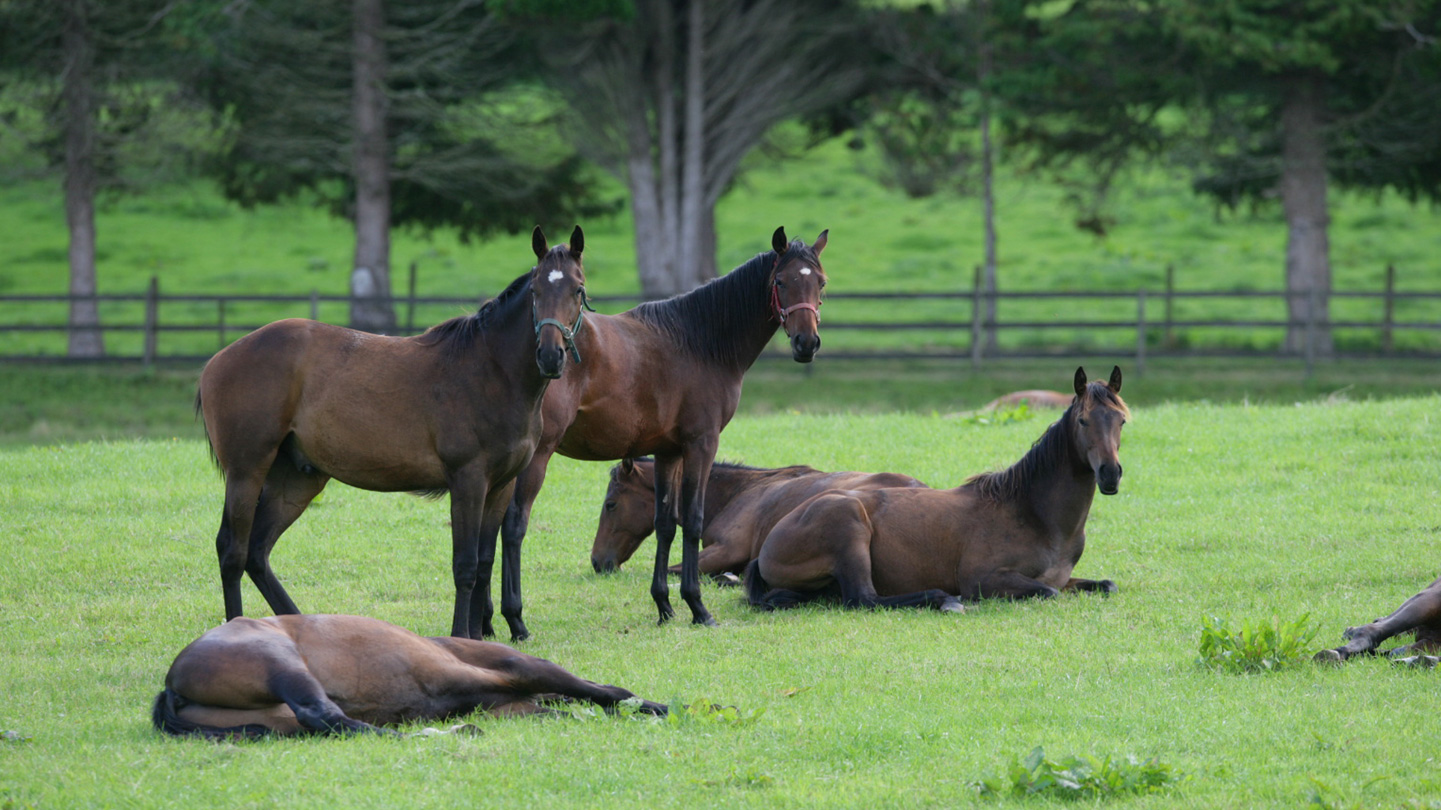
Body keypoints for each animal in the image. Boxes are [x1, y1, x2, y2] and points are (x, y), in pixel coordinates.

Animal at [197, 223, 590, 634]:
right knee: (233, 551)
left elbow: (484, 564)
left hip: (297, 479)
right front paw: (461, 636)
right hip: (247, 471)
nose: (550, 356)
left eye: (578, 290)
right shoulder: (468, 481)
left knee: (257, 552)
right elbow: (465, 567)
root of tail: (216, 361)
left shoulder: (501, 485)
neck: (492, 371)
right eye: (535, 291)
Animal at [489, 224, 830, 637]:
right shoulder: (701, 444)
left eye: (821, 283)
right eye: (781, 281)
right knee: (513, 526)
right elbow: (693, 519)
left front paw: (664, 605)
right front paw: (697, 606)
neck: (699, 341)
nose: (806, 343)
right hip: (536, 458)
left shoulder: (668, 451)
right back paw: (515, 619)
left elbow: (666, 523)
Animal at [749, 364, 1129, 605]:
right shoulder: (986, 578)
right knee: (863, 599)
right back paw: (943, 598)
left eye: (1122, 420)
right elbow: (1047, 593)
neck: (1032, 514)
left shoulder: (1064, 579)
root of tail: (768, 543)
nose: (1110, 474)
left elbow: (1106, 584)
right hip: (849, 520)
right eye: (1082, 420)